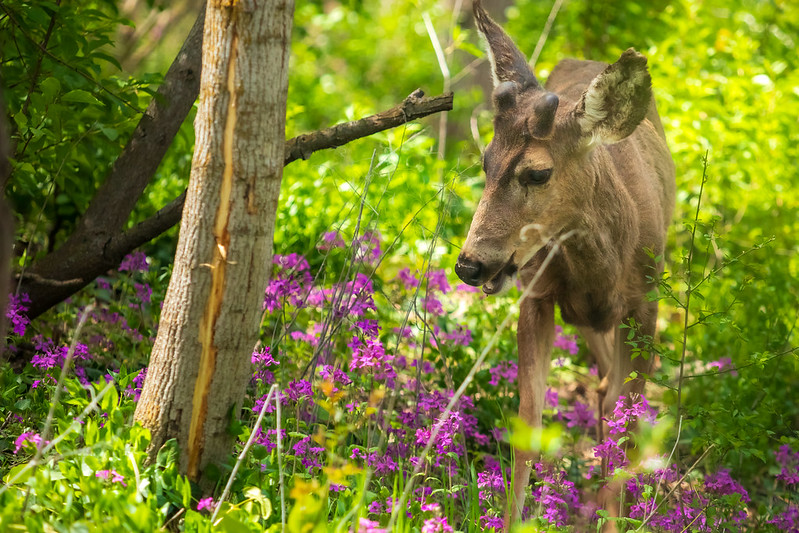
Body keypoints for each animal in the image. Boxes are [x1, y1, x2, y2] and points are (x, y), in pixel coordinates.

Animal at [456, 0, 676, 524]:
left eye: (538, 173)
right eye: (485, 162)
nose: (470, 264)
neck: (604, 266)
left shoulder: (645, 306)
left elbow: (627, 424)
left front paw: (618, 520)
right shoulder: (537, 296)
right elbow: (528, 425)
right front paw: (513, 520)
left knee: (612, 398)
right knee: (600, 386)